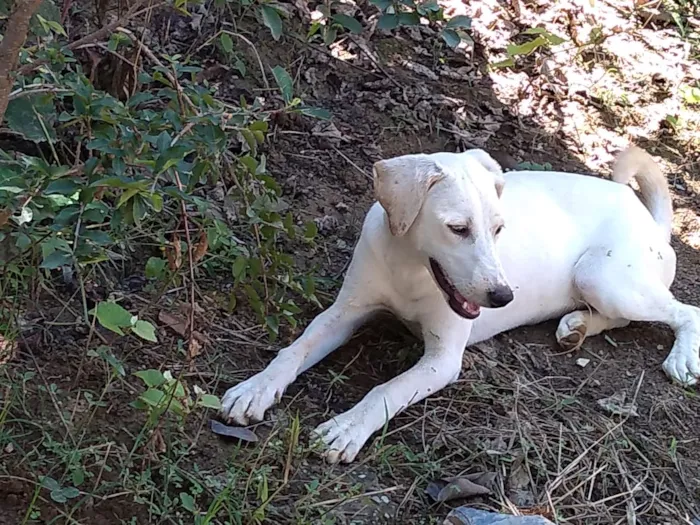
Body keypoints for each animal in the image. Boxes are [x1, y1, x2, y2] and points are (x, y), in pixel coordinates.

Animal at [220, 145, 700, 460]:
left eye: (499, 228)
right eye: (458, 229)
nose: (503, 297)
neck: (409, 267)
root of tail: (648, 217)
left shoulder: (443, 359)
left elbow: (386, 390)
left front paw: (347, 427)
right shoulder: (344, 312)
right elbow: (294, 349)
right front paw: (255, 389)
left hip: (603, 274)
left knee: (683, 312)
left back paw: (679, 358)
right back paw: (576, 326)